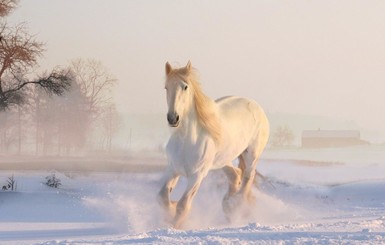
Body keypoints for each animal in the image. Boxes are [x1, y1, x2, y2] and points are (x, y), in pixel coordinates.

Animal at [158, 60, 268, 228]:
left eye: (185, 87)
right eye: (166, 87)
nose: (173, 118)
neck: (186, 141)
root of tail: (255, 106)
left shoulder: (197, 176)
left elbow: (183, 205)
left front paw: (175, 224)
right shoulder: (173, 170)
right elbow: (163, 197)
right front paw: (170, 211)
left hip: (251, 155)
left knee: (248, 178)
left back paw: (236, 206)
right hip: (223, 160)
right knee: (236, 175)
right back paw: (228, 206)